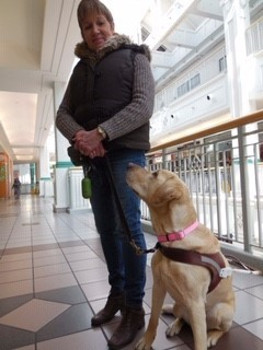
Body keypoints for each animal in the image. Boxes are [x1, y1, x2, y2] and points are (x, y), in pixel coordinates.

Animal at [127, 164, 236, 350]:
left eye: (155, 173)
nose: (128, 165)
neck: (174, 237)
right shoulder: (158, 286)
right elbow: (153, 319)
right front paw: (146, 341)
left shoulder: (196, 302)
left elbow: (199, 342)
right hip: (180, 305)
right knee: (184, 319)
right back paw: (175, 325)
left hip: (219, 311)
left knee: (222, 329)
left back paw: (212, 335)